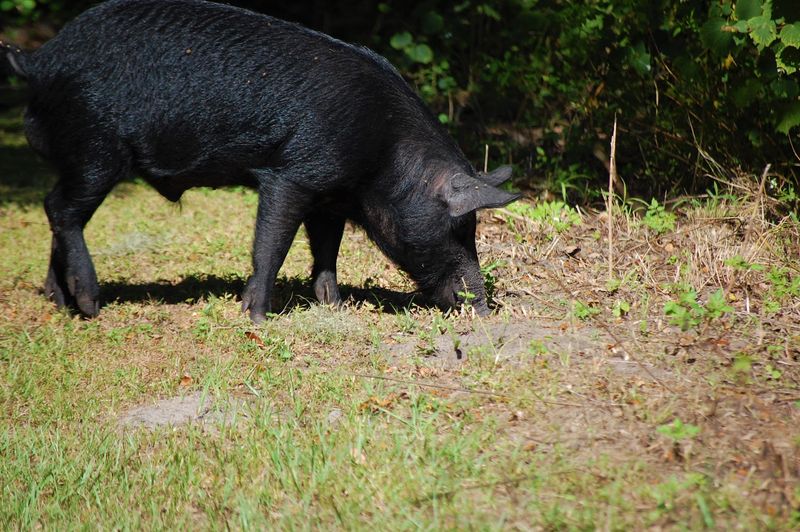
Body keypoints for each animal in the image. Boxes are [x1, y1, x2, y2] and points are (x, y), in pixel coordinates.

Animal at [2, 0, 519, 322]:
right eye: (460, 227)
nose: (482, 308)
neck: (382, 153)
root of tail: (41, 59)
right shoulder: (290, 174)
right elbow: (272, 243)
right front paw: (256, 316)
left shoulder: (330, 195)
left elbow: (326, 249)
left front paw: (332, 305)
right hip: (95, 148)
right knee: (61, 209)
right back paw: (91, 306)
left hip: (79, 157)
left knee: (59, 210)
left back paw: (60, 303)